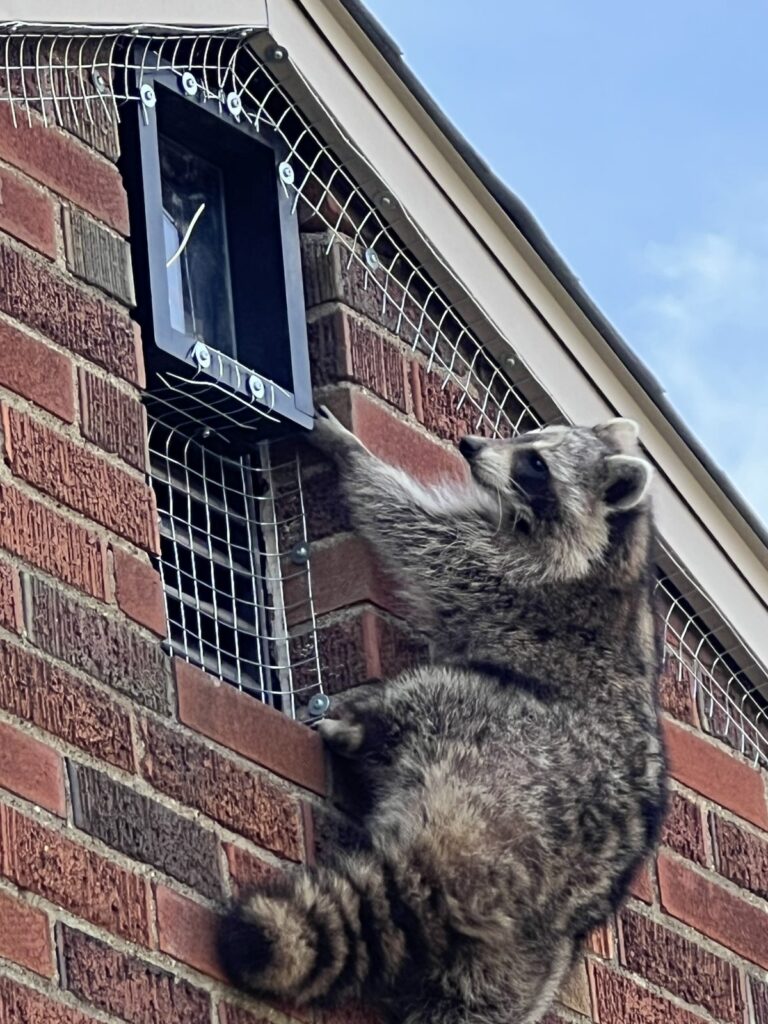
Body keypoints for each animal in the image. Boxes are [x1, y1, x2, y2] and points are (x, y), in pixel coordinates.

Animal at [218, 409, 667, 1024]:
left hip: (515, 739)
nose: (470, 444)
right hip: (516, 967)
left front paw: (351, 453)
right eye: (526, 435)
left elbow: (416, 531)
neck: (620, 547)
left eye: (535, 463)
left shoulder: (510, 577)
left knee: (444, 691)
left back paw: (364, 727)